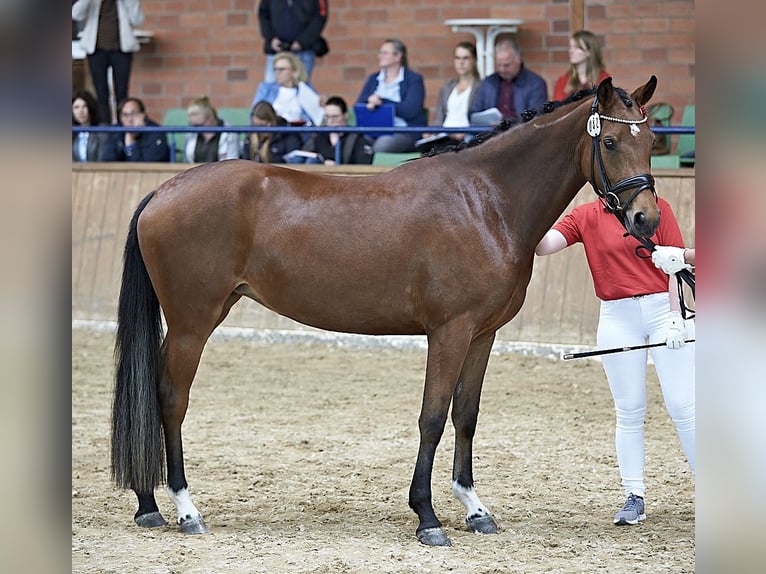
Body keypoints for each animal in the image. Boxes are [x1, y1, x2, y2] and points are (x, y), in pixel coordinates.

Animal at [111, 77, 664, 548]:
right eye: (611, 143)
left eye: (652, 140)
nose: (646, 220)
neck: (485, 201)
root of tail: (163, 190)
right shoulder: (449, 332)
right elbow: (433, 417)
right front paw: (428, 517)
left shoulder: (481, 335)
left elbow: (466, 416)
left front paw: (475, 510)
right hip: (193, 323)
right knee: (170, 399)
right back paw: (185, 510)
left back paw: (147, 504)